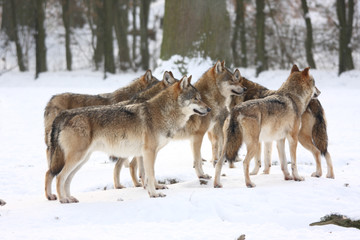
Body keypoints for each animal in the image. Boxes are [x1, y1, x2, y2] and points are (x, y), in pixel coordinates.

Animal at [45, 75, 211, 202]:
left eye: (200, 98)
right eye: (196, 98)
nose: (209, 109)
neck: (163, 113)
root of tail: (64, 115)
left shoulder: (146, 154)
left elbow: (147, 175)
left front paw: (153, 190)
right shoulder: (149, 152)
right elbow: (150, 175)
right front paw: (155, 194)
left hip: (82, 160)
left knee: (65, 179)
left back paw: (70, 198)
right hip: (76, 158)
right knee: (58, 176)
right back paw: (63, 199)